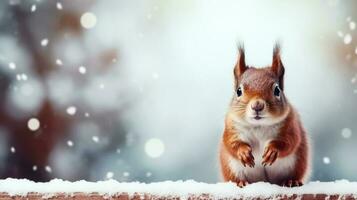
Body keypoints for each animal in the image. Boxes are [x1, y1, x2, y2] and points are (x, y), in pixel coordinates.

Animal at [217, 44, 308, 188]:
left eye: (277, 90)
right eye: (239, 91)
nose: (257, 106)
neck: (258, 125)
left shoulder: (290, 125)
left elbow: (290, 141)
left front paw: (272, 150)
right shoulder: (231, 127)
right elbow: (230, 142)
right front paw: (243, 152)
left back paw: (291, 181)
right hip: (231, 169)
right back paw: (241, 182)